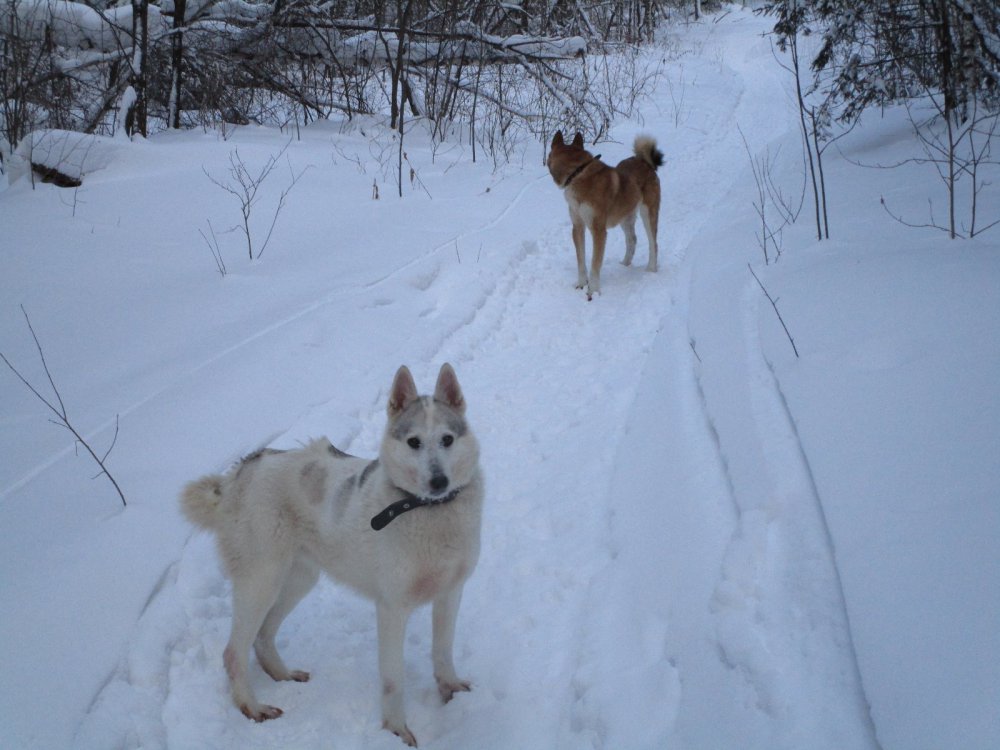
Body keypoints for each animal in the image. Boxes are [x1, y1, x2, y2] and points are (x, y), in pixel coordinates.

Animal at [185, 364, 488, 748]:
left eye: (448, 439)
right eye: (414, 442)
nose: (438, 481)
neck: (426, 509)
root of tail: (241, 470)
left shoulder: (451, 593)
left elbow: (443, 652)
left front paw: (453, 694)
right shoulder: (392, 609)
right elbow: (394, 680)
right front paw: (396, 732)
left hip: (298, 579)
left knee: (263, 637)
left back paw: (283, 675)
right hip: (261, 581)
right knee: (234, 652)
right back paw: (253, 707)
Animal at [548, 132, 664, 300]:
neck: (577, 173)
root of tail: (644, 162)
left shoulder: (598, 230)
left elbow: (595, 264)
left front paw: (593, 292)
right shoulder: (578, 227)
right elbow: (581, 261)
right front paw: (581, 284)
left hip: (648, 213)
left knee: (653, 243)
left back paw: (651, 269)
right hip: (625, 216)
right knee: (632, 240)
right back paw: (624, 264)